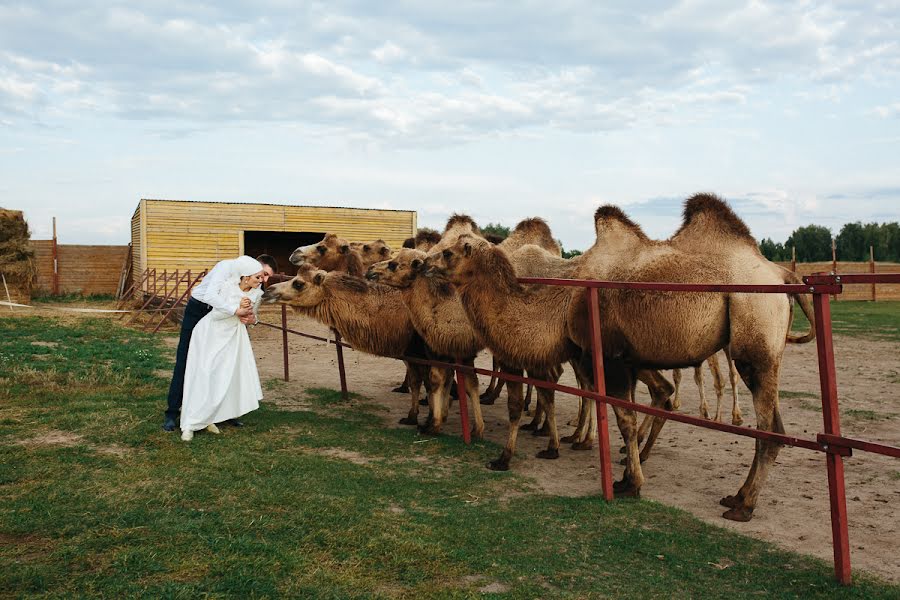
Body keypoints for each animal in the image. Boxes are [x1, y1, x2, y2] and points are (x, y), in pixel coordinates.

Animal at [432, 195, 820, 524]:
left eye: (448, 253)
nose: (424, 265)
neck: (560, 302)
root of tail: (781, 274)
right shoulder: (624, 361)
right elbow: (626, 417)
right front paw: (622, 477)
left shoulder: (609, 357)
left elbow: (625, 420)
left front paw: (630, 484)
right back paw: (736, 496)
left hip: (756, 333)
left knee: (769, 427)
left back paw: (744, 506)